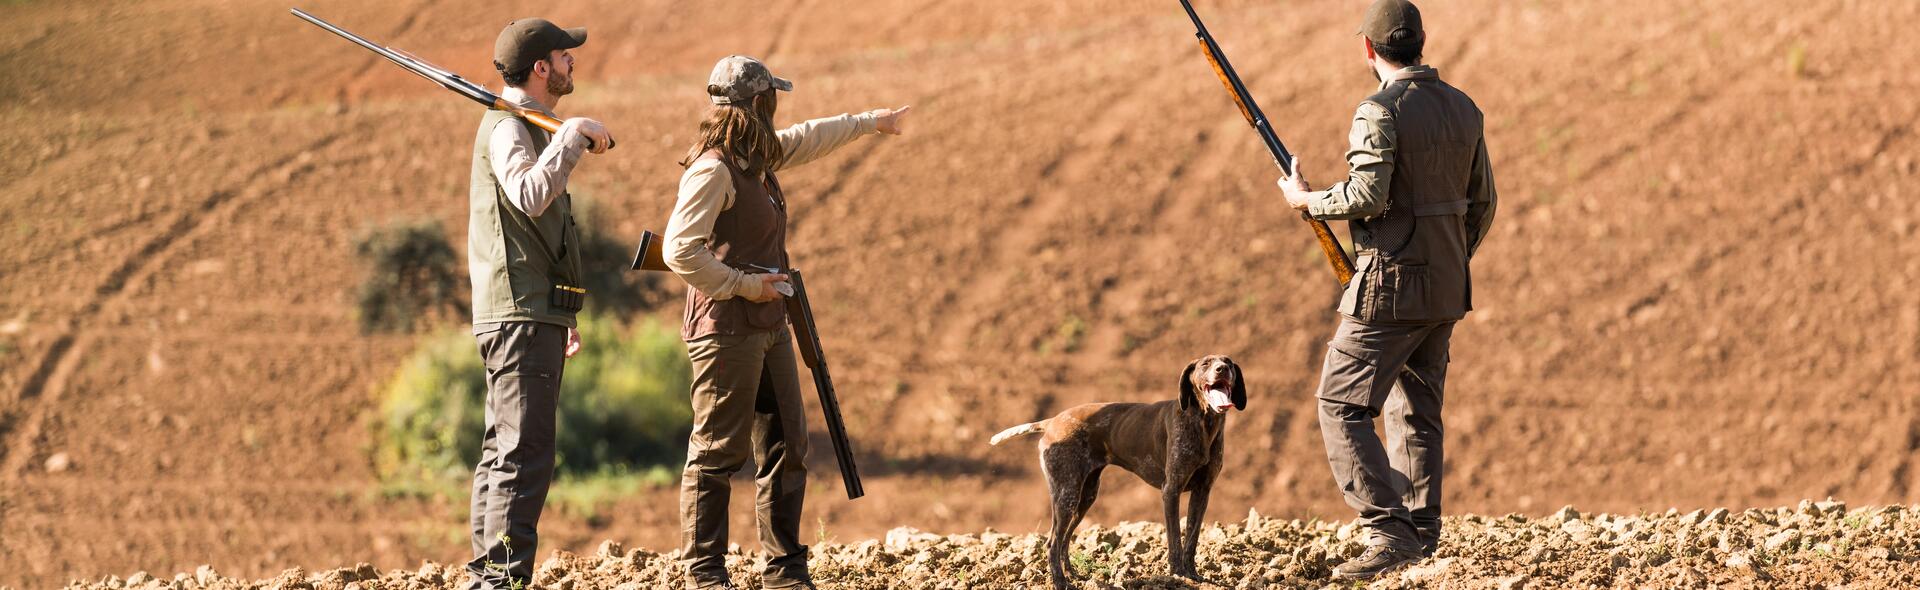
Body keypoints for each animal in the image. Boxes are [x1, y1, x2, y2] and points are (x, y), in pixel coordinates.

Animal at [990, 353, 1244, 588]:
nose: (1222, 369)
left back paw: (1073, 575)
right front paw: (1178, 575)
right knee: (1052, 542)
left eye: (1228, 362)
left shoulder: (1202, 493)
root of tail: (1052, 421)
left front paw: (1193, 575)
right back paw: (1061, 583)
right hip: (1067, 496)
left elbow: (1192, 539)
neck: (1204, 423)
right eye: (1205, 364)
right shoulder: (1171, 490)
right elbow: (1175, 541)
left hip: (1085, 497)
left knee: (1064, 540)